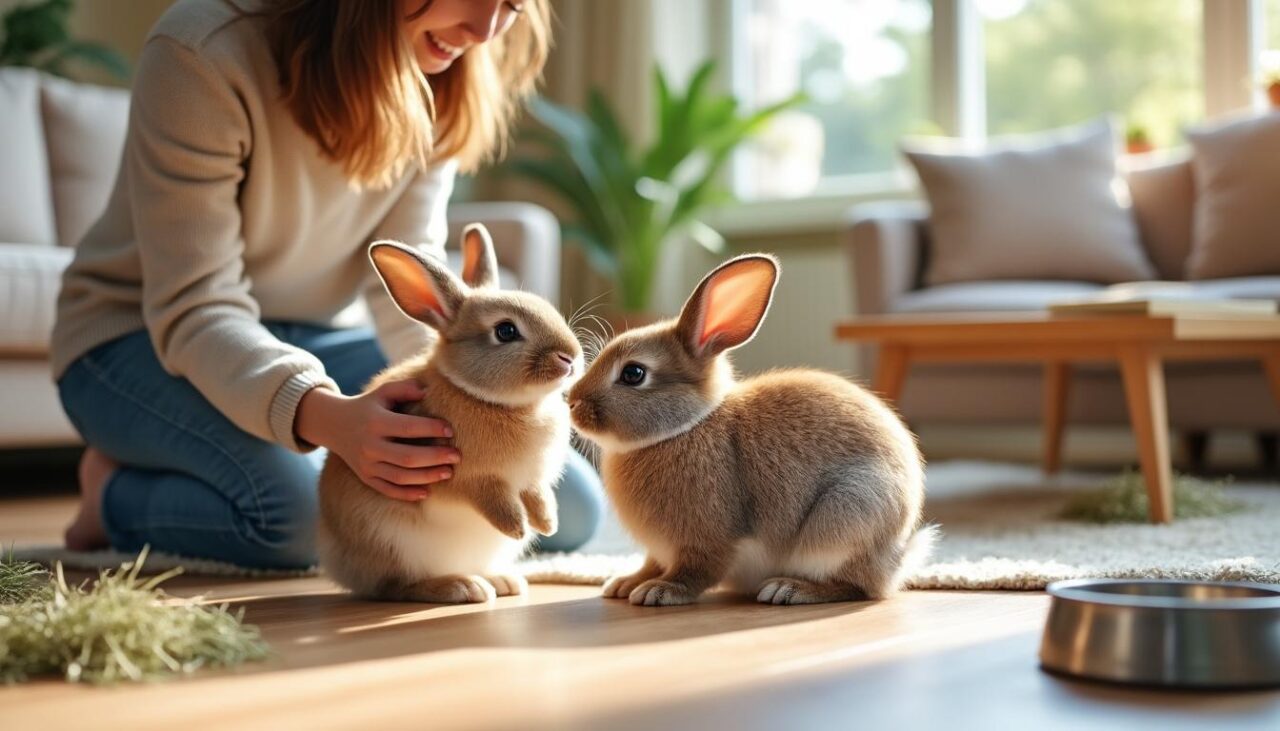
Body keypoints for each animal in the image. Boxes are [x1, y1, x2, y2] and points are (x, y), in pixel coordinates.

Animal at [317, 223, 583, 603]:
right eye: (506, 330)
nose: (570, 358)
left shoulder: (533, 478)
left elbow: (537, 495)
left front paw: (547, 524)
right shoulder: (467, 480)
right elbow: (491, 498)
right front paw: (517, 527)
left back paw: (501, 581)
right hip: (392, 543)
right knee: (394, 586)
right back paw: (462, 586)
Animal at [567, 253, 935, 607]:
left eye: (633, 373)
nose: (571, 402)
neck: (685, 427)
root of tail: (897, 557)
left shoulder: (708, 538)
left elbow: (695, 570)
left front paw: (660, 591)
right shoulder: (660, 550)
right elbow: (651, 563)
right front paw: (626, 583)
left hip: (846, 518)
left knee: (856, 586)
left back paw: (789, 589)